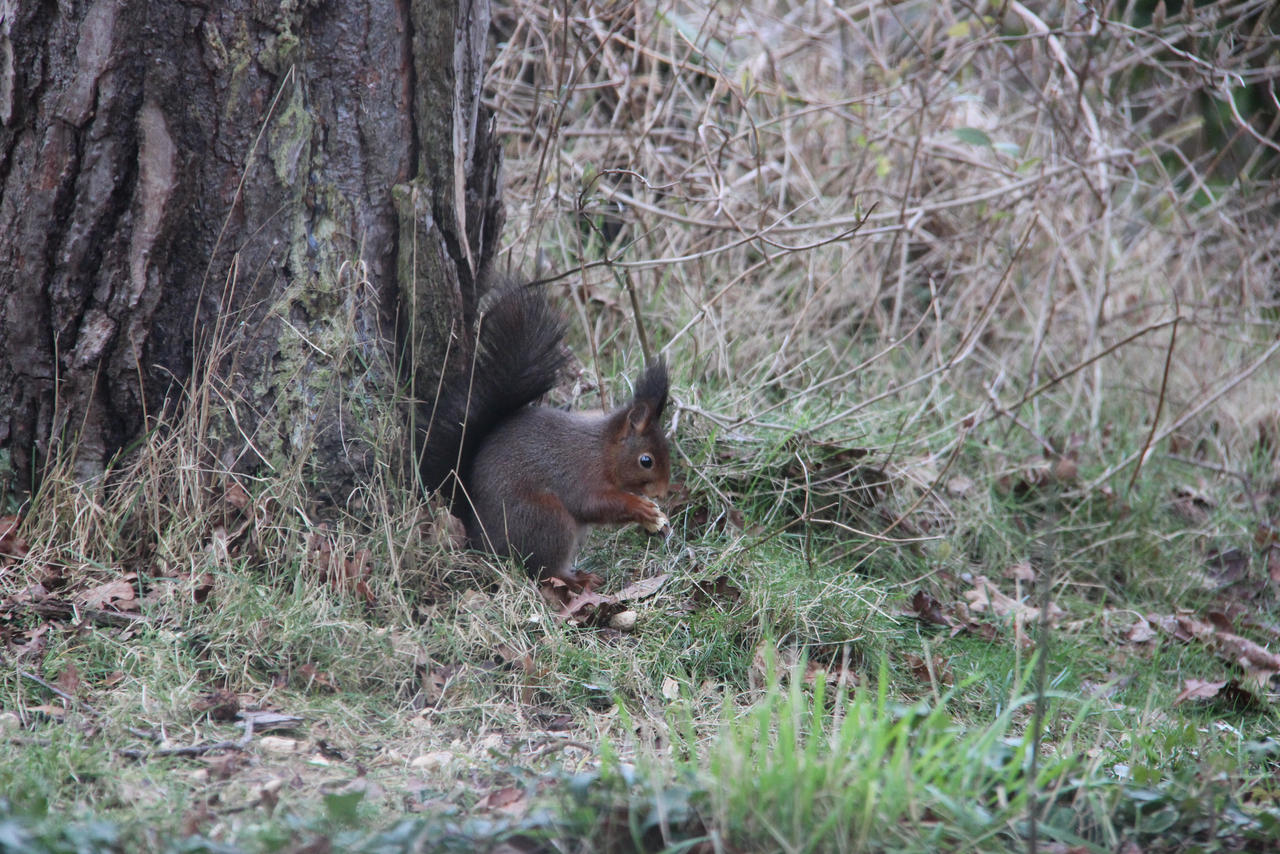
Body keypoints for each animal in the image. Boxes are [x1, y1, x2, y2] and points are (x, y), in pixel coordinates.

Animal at [424, 284, 675, 591]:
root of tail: (479, 536)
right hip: (548, 520)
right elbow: (592, 503)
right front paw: (640, 507)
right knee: (544, 569)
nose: (662, 492)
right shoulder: (580, 473)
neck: (603, 451)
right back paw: (577, 579)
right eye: (646, 461)